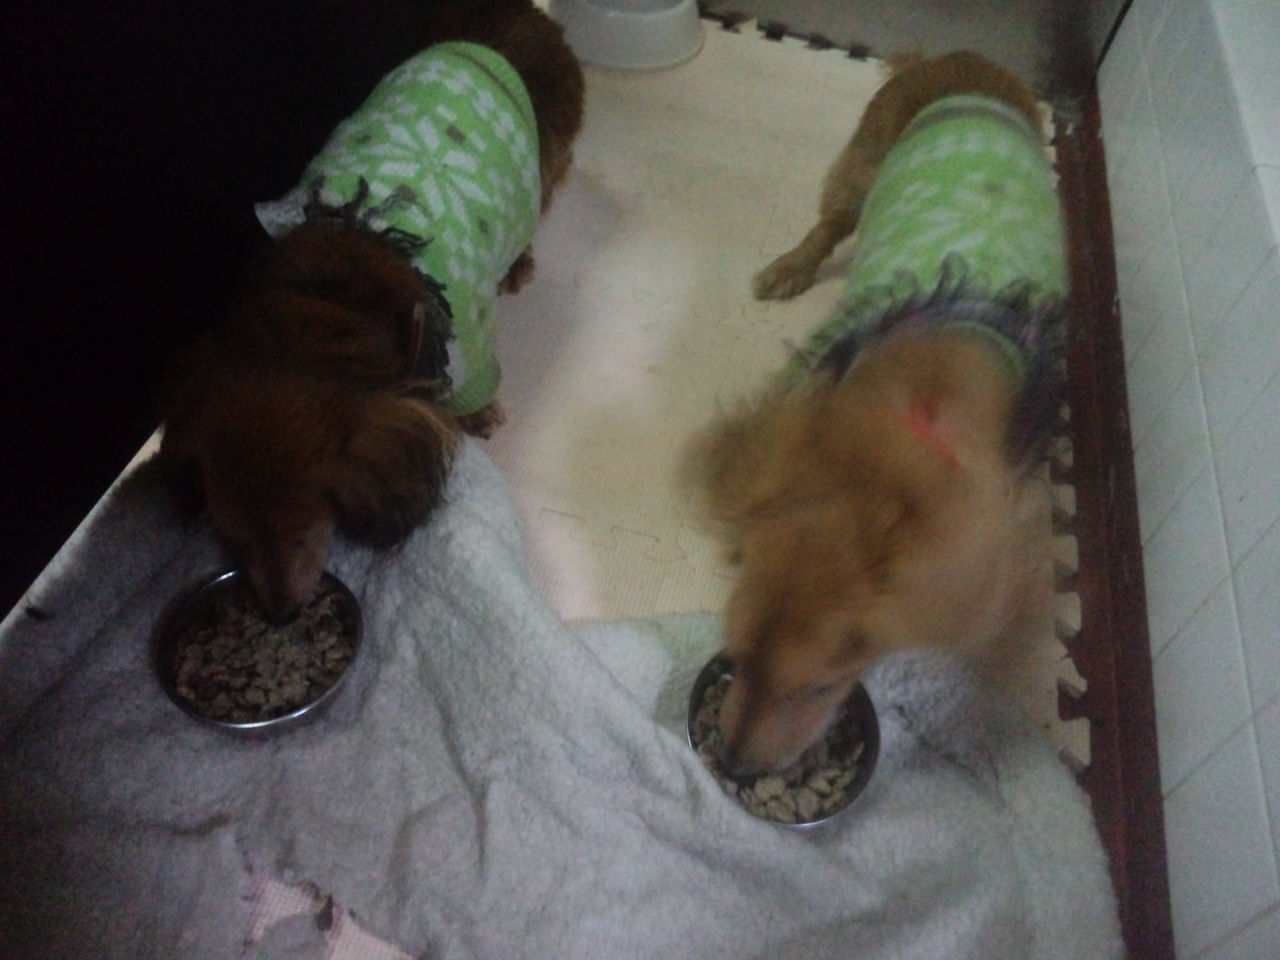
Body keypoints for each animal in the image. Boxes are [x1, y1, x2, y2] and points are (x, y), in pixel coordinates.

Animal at [161, 0, 583, 622]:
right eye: (231, 534)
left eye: (303, 529)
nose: (279, 613)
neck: (335, 299)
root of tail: (512, 13)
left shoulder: (469, 343)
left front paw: (480, 418)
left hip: (543, 167)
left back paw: (519, 262)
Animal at [689, 52, 1066, 775]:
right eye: (735, 655)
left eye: (817, 688)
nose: (735, 765)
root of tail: (963, 60)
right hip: (858, 171)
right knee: (828, 226)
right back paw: (788, 268)